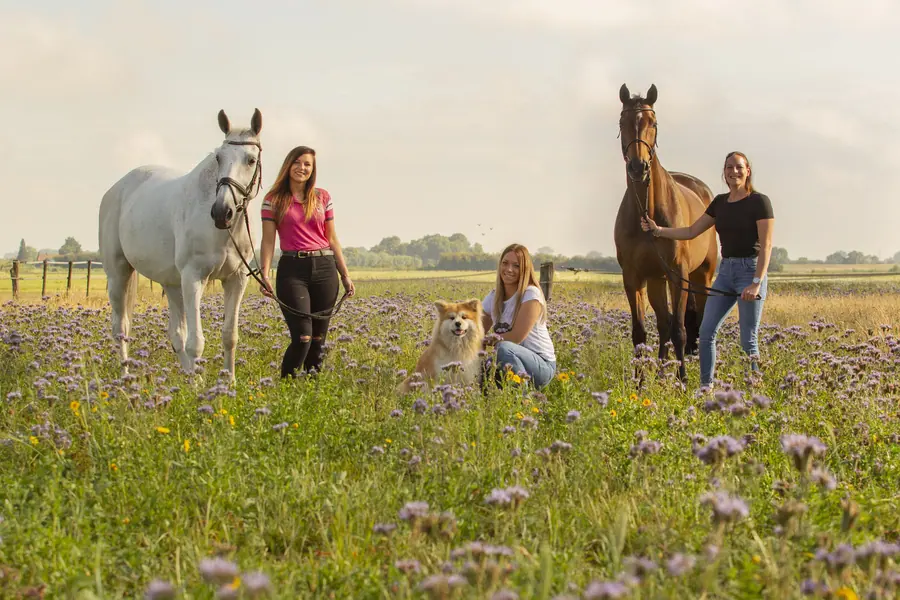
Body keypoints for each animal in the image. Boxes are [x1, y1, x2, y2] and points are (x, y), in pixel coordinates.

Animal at [99, 108, 263, 384]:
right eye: (218, 157)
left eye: (251, 160)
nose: (222, 212)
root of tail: (116, 188)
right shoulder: (193, 277)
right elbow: (196, 342)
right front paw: (201, 388)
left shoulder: (236, 279)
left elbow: (229, 336)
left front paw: (228, 383)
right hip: (119, 275)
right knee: (120, 328)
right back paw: (127, 377)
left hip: (172, 284)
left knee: (176, 334)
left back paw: (188, 377)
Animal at [613, 83, 718, 383]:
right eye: (622, 122)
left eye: (653, 122)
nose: (638, 167)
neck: (646, 213)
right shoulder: (634, 277)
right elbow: (640, 333)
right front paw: (639, 385)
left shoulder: (678, 274)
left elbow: (680, 331)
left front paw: (682, 382)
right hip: (656, 281)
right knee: (664, 323)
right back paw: (660, 374)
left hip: (701, 276)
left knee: (695, 323)